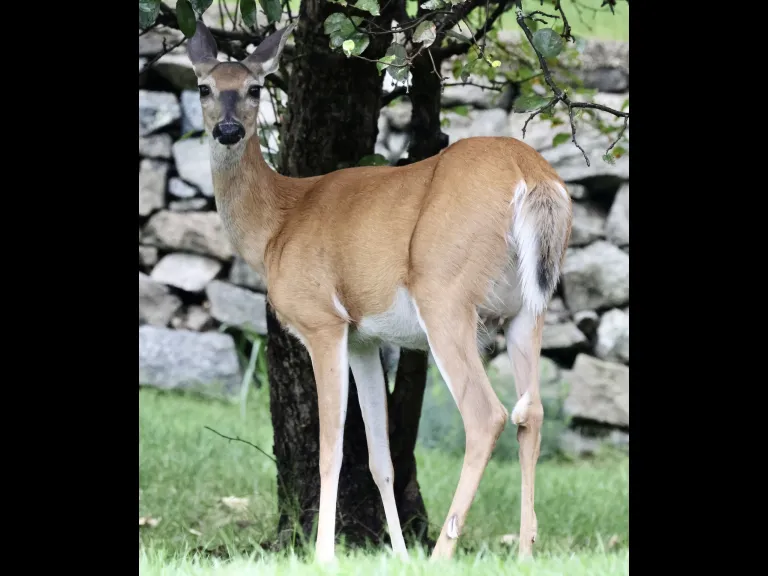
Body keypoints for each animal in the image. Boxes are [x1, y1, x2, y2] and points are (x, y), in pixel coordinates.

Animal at [184, 19, 572, 563]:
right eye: (203, 86)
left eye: (255, 87)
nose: (227, 130)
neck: (278, 224)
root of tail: (533, 177)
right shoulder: (364, 338)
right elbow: (379, 458)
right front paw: (398, 553)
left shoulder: (323, 321)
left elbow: (330, 449)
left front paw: (325, 554)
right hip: (527, 307)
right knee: (530, 413)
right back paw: (522, 553)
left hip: (445, 293)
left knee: (486, 415)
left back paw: (442, 553)